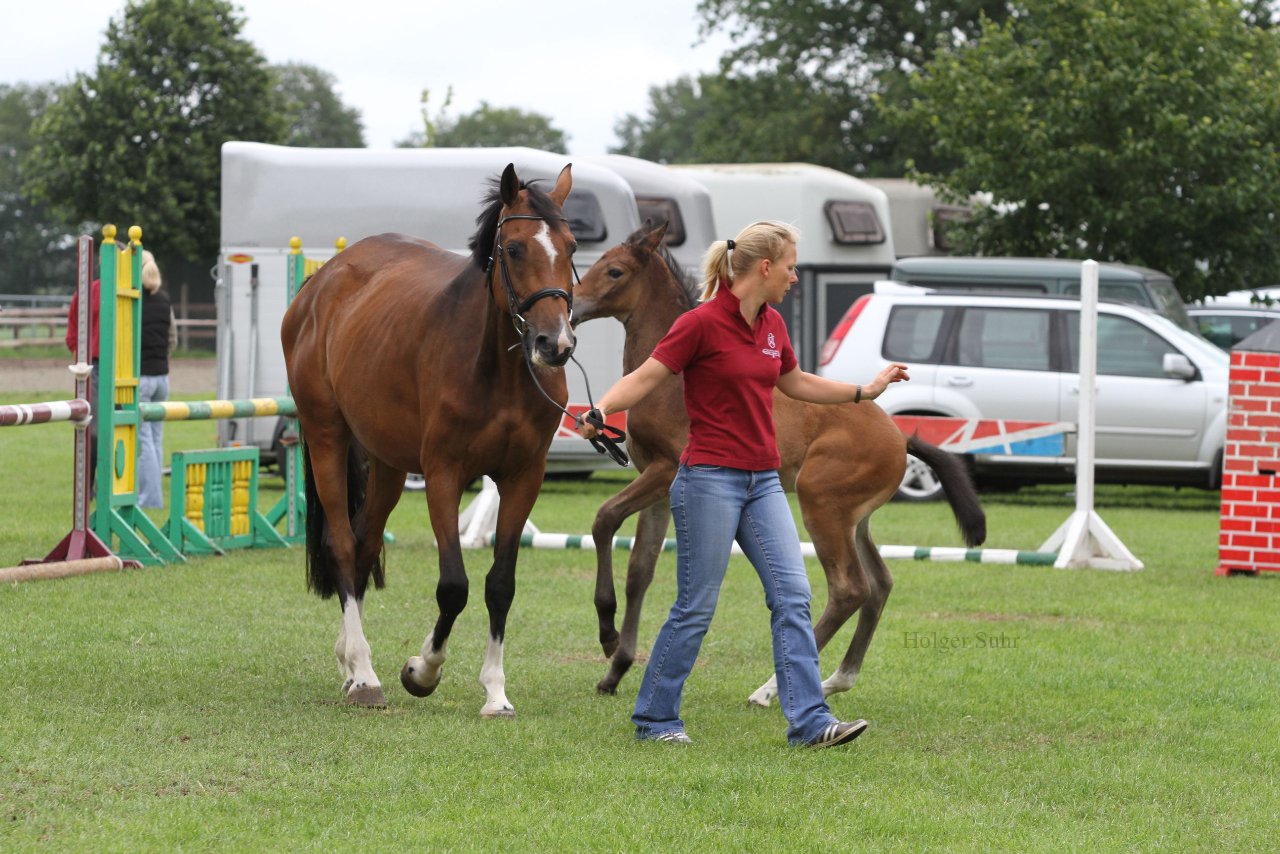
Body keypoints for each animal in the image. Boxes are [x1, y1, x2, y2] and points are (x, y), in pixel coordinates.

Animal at [285, 160, 581, 717]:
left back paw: (351, 661)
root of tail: (322, 282)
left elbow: (500, 584)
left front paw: (495, 691)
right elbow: (454, 586)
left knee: (364, 544)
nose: (556, 344)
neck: (497, 368)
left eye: (571, 247)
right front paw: (422, 670)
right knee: (342, 544)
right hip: (326, 436)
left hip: (387, 464)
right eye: (514, 249)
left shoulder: (523, 478)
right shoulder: (444, 475)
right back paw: (364, 674)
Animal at [576, 224, 983, 706]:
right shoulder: (655, 485)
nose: (572, 307)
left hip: (820, 503)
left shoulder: (666, 470)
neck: (670, 383)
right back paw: (838, 678)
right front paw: (616, 668)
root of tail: (899, 437)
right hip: (854, 519)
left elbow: (604, 519)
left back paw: (770, 687)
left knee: (849, 588)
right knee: (880, 584)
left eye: (614, 271)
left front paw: (606, 632)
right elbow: (641, 570)